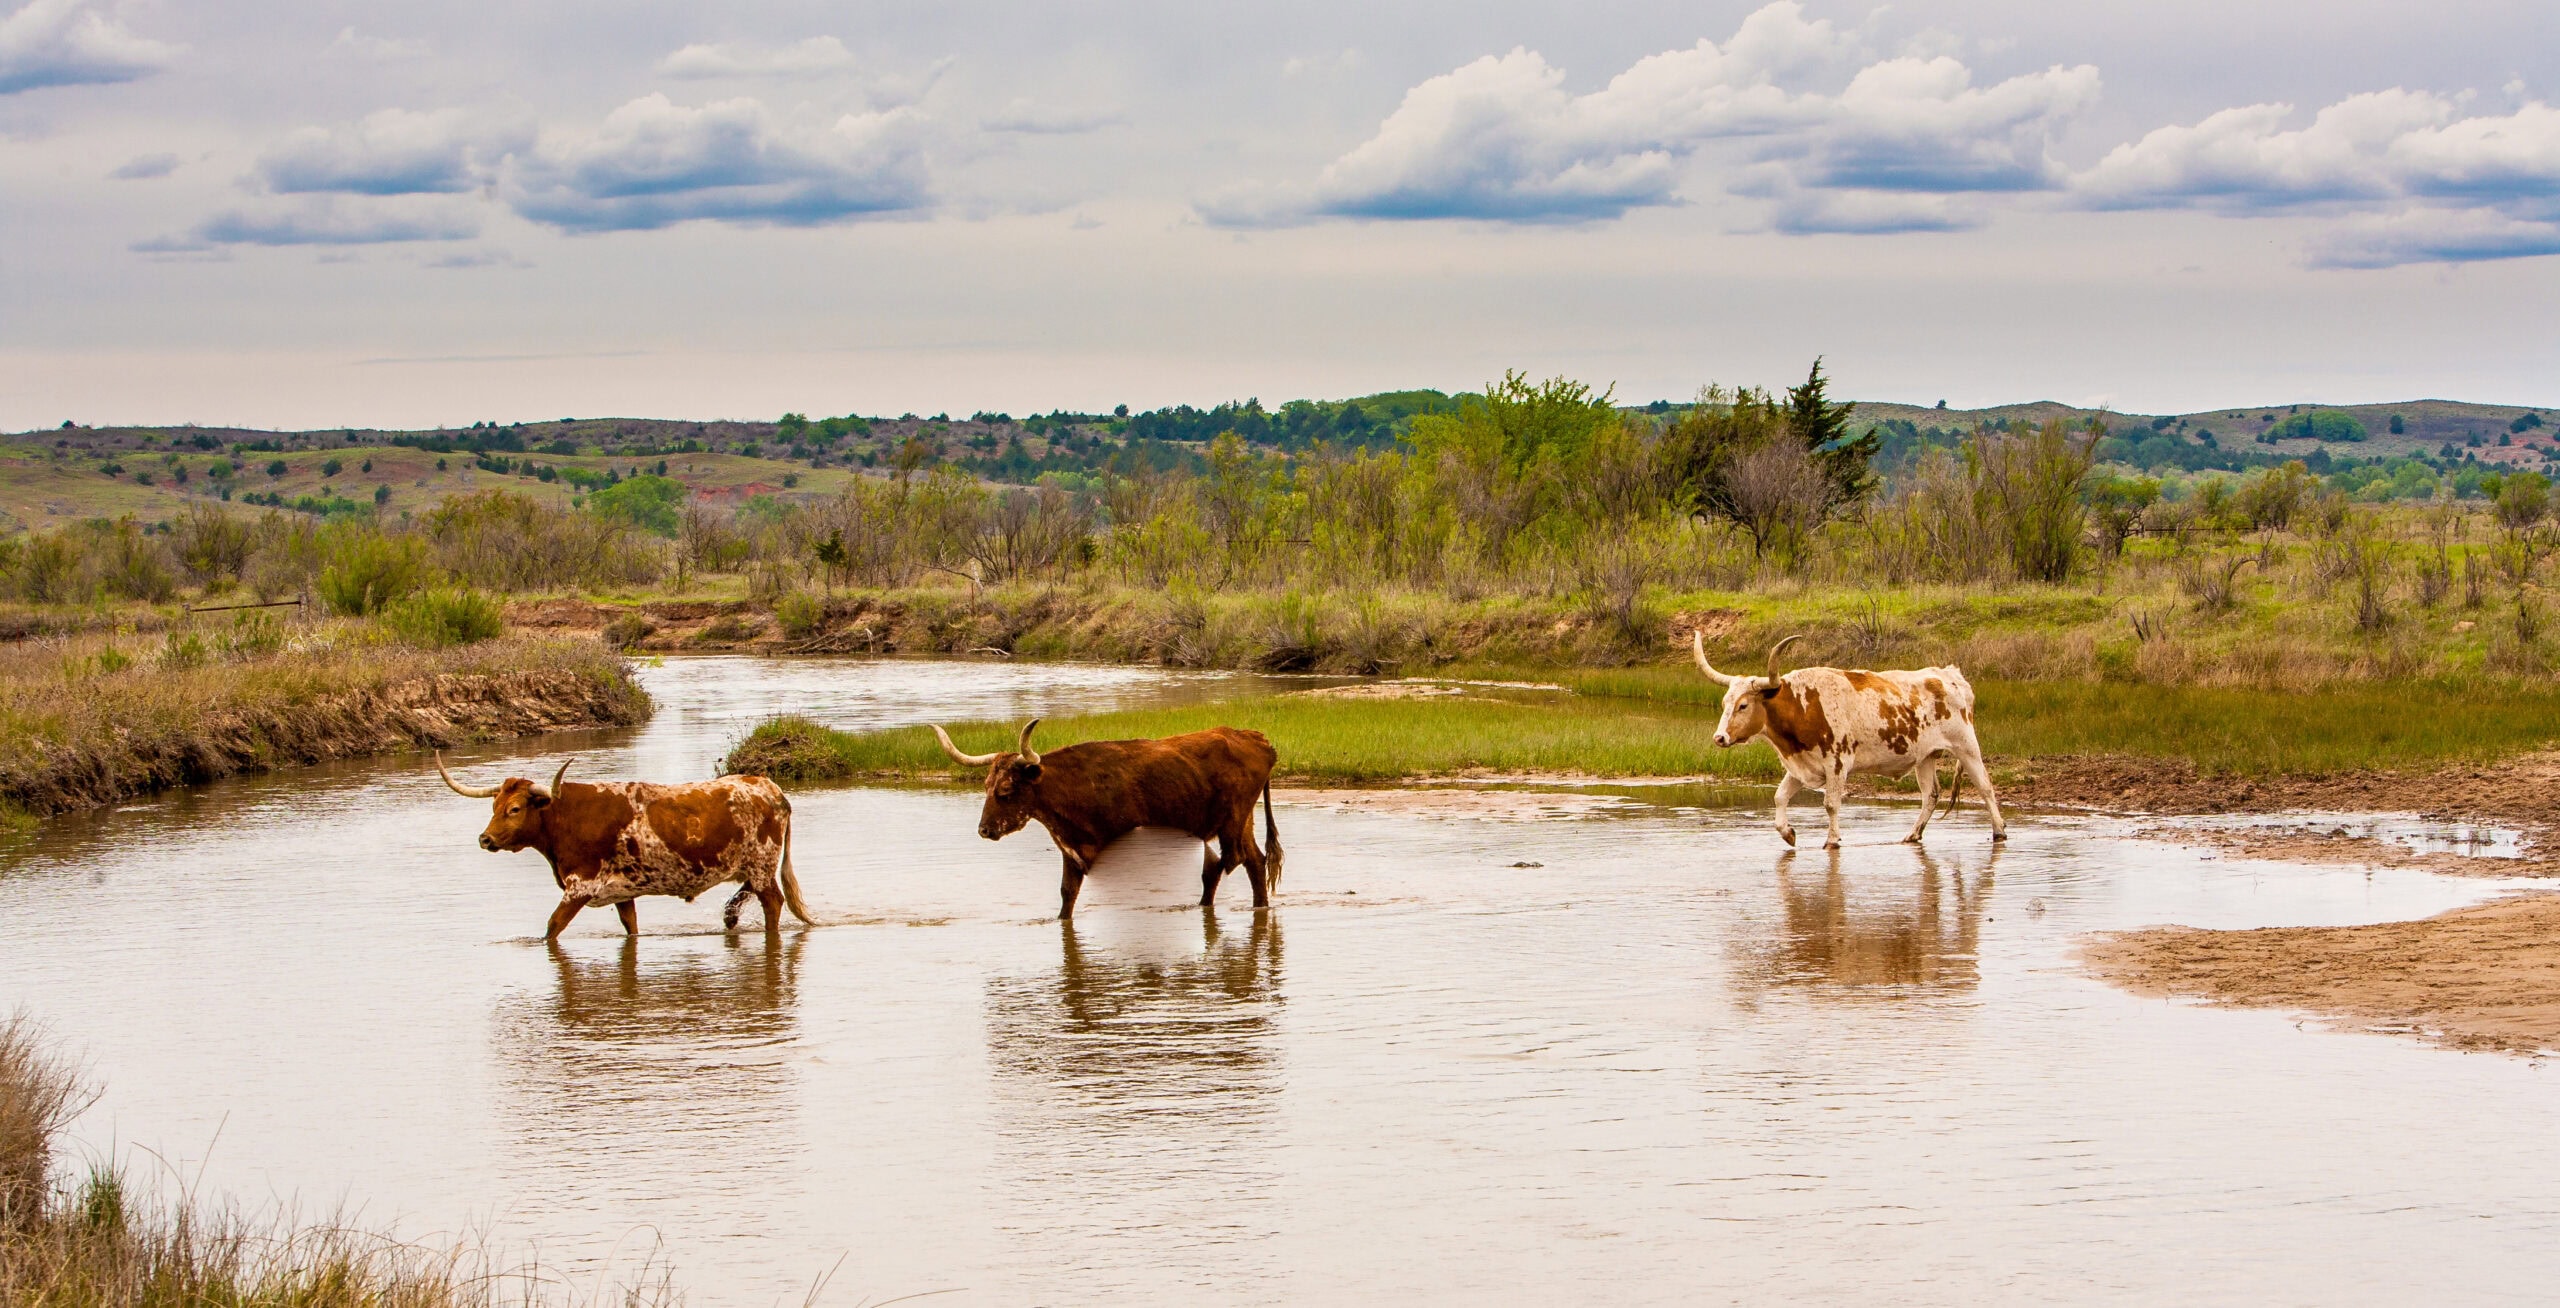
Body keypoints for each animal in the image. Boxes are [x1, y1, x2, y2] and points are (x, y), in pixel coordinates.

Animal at [434, 754, 815, 940]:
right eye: (494, 806)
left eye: (514, 809)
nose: (485, 839)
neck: (565, 817)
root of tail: (769, 787)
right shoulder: (622, 894)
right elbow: (631, 928)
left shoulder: (580, 887)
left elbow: (552, 928)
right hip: (749, 867)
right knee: (745, 896)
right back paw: (731, 916)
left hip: (762, 866)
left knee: (774, 902)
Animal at [929, 718, 1282, 919]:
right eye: (985, 786)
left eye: (1005, 790)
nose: (984, 829)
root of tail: (1257, 738)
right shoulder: (1071, 854)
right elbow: (1067, 896)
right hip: (1241, 822)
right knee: (1252, 861)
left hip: (1232, 821)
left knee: (1228, 862)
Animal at [1693, 632, 2006, 849]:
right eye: (1724, 702)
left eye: (1743, 705)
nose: (1720, 737)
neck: (1802, 706)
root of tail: (1950, 675)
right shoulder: (1801, 766)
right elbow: (1779, 796)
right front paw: (1788, 833)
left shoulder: (1837, 764)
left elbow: (1831, 804)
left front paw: (1832, 840)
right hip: (1924, 757)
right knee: (1930, 795)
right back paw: (1913, 834)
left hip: (1966, 747)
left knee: (1985, 786)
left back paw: (1999, 831)